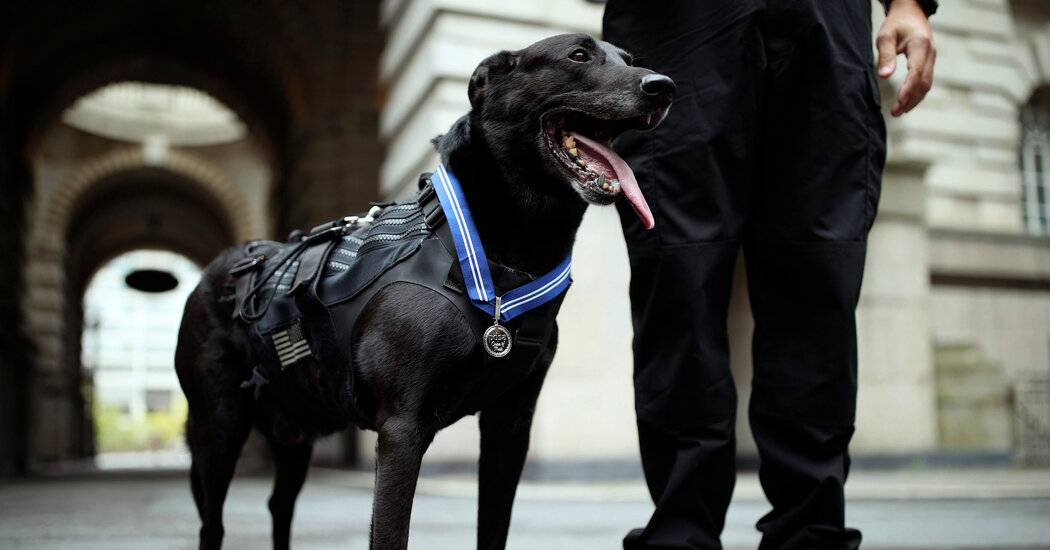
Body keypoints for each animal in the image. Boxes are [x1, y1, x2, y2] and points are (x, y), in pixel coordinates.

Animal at [174, 34, 672, 550]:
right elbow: (390, 533)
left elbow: (493, 527)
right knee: (213, 522)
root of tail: (221, 266)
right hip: (219, 427)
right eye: (578, 55)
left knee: (279, 507)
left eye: (629, 60)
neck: (494, 256)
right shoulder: (402, 429)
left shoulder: (509, 427)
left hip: (295, 433)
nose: (664, 87)